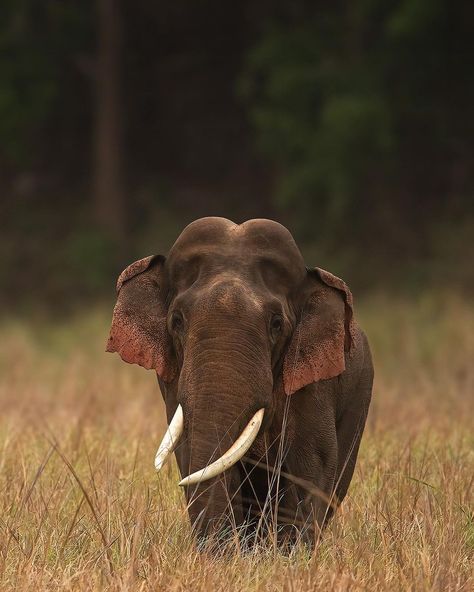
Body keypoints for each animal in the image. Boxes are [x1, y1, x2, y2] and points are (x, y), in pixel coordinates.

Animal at [106, 217, 374, 552]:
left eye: (277, 324)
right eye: (177, 321)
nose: (215, 553)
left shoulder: (314, 383)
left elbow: (312, 462)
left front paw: (289, 556)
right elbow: (193, 453)